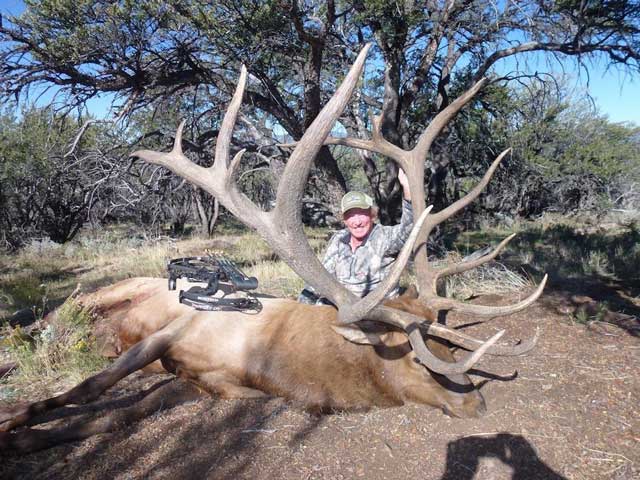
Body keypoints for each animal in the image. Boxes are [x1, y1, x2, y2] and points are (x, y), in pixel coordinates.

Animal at [0, 43, 544, 452]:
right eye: (417, 358)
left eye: (446, 343)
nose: (477, 403)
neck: (272, 363)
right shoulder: (172, 333)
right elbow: (84, 388)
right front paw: (11, 422)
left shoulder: (208, 386)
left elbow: (109, 416)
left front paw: (28, 437)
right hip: (95, 295)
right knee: (40, 327)